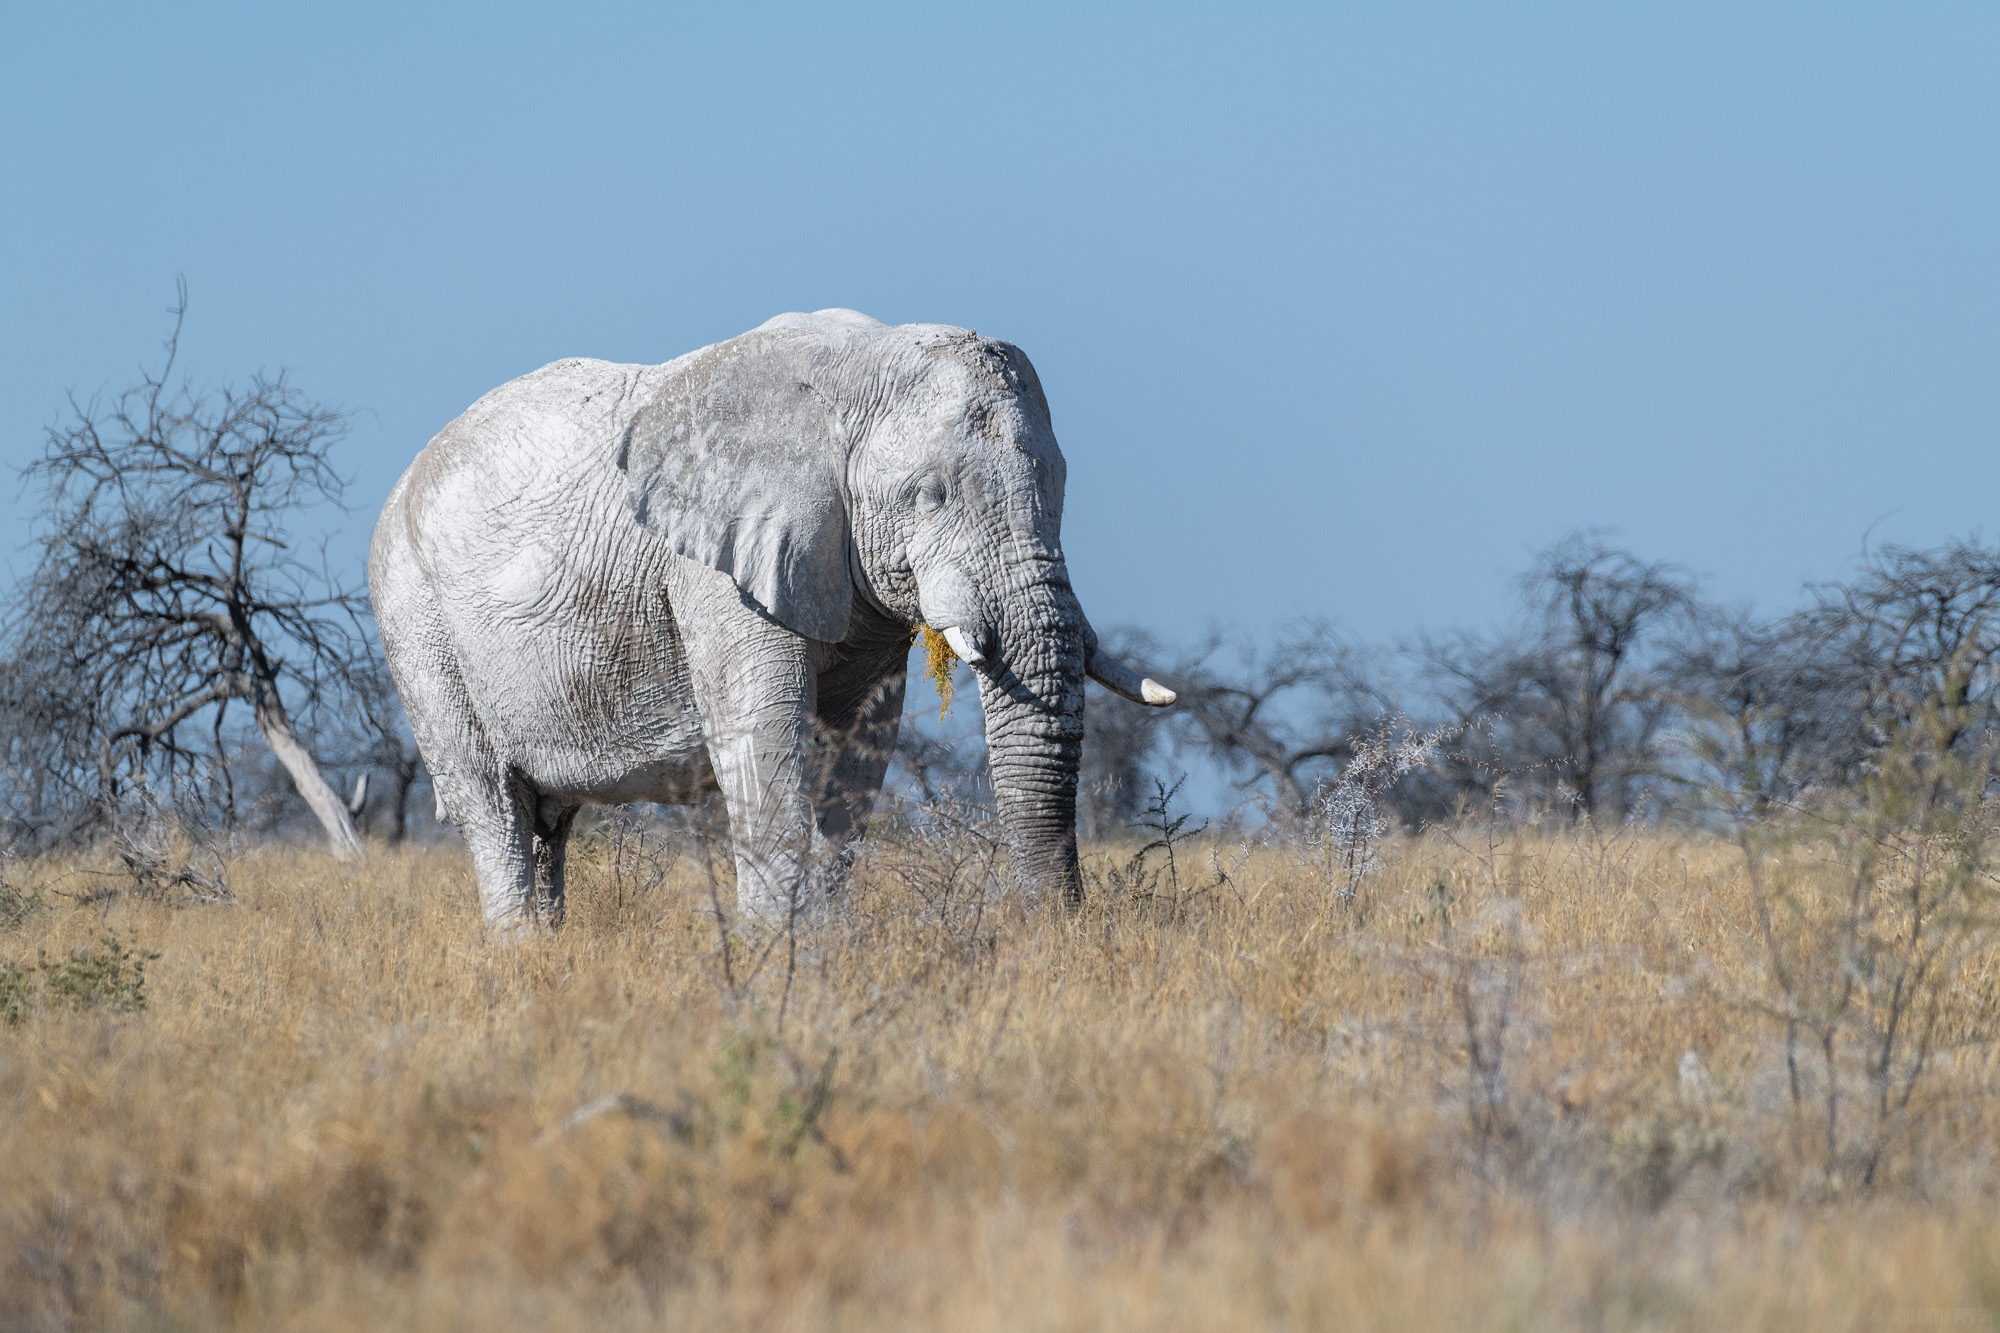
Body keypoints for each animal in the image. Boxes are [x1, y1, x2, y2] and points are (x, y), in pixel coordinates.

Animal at [369, 308, 1175, 931]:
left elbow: (853, 759)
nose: (1051, 929)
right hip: (416, 622)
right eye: (930, 494)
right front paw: (777, 959)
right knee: (493, 807)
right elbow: (764, 742)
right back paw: (519, 956)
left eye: (1062, 488)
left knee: (548, 824)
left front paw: (823, 951)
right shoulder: (715, 569)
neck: (860, 367)